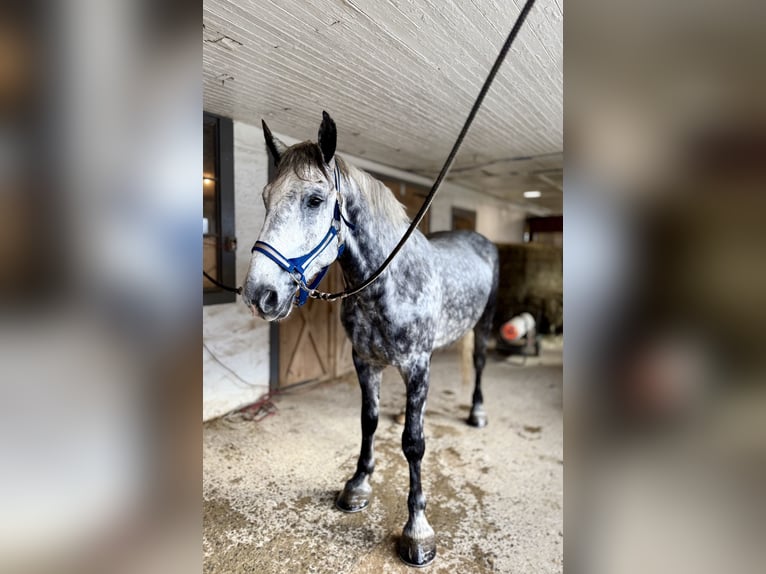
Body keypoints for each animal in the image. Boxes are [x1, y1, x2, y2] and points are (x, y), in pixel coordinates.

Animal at [242, 112, 499, 567]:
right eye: (266, 196)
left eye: (314, 200)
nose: (260, 295)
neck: (388, 284)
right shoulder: (365, 362)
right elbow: (368, 422)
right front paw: (358, 484)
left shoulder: (417, 367)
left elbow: (414, 444)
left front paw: (418, 530)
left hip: (482, 327)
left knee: (481, 365)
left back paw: (477, 413)